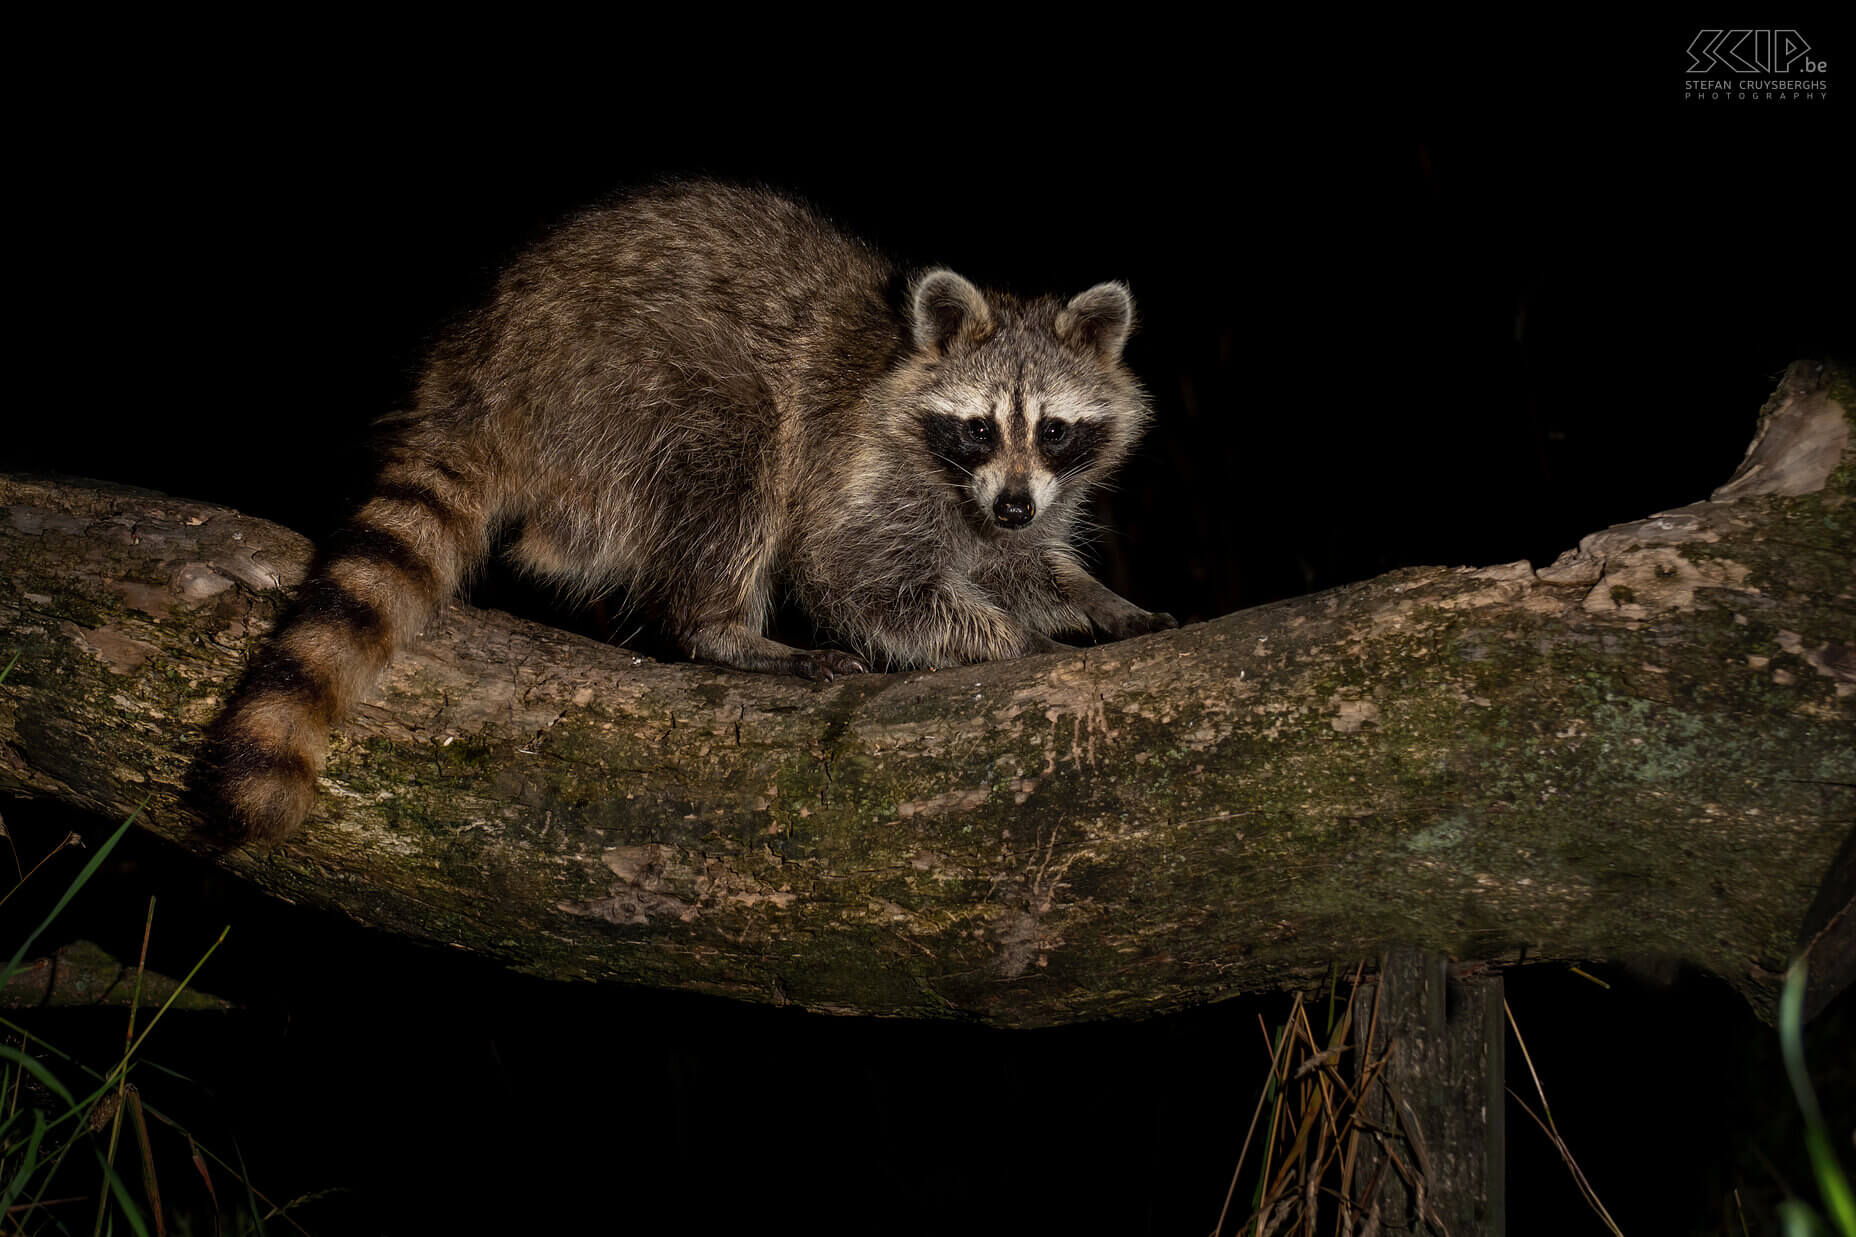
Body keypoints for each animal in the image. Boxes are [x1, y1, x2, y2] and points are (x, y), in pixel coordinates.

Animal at [203, 182, 1180, 839]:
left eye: (1053, 429)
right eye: (978, 428)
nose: (1013, 503)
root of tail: (475, 382)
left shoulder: (1014, 504)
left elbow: (1025, 566)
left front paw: (1098, 602)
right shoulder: (866, 467)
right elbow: (858, 577)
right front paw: (1022, 643)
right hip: (620, 384)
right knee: (732, 441)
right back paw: (723, 628)